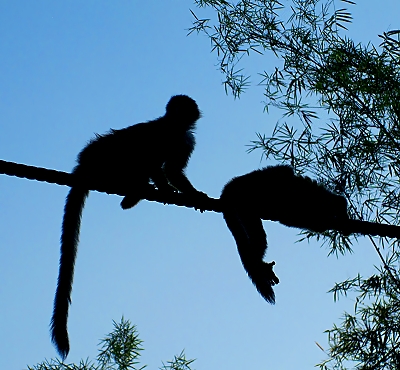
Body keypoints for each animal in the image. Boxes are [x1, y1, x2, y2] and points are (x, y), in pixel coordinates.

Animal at [50, 94, 208, 358]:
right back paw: (136, 189)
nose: (179, 111)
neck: (173, 128)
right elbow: (157, 163)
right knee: (133, 149)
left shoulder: (184, 139)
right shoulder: (165, 132)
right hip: (109, 159)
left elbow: (172, 169)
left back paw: (132, 197)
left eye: (185, 108)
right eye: (178, 108)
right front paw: (171, 190)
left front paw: (191, 194)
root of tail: (85, 164)